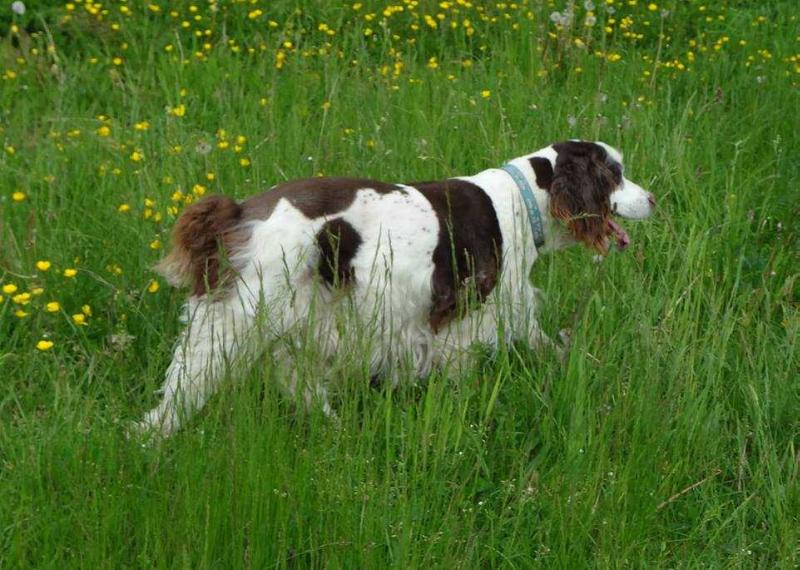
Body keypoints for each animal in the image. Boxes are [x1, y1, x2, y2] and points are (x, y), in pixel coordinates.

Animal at [139, 140, 656, 432]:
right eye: (614, 173)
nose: (652, 198)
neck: (524, 198)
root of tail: (239, 213)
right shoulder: (463, 322)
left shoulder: (514, 311)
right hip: (237, 319)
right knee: (179, 393)